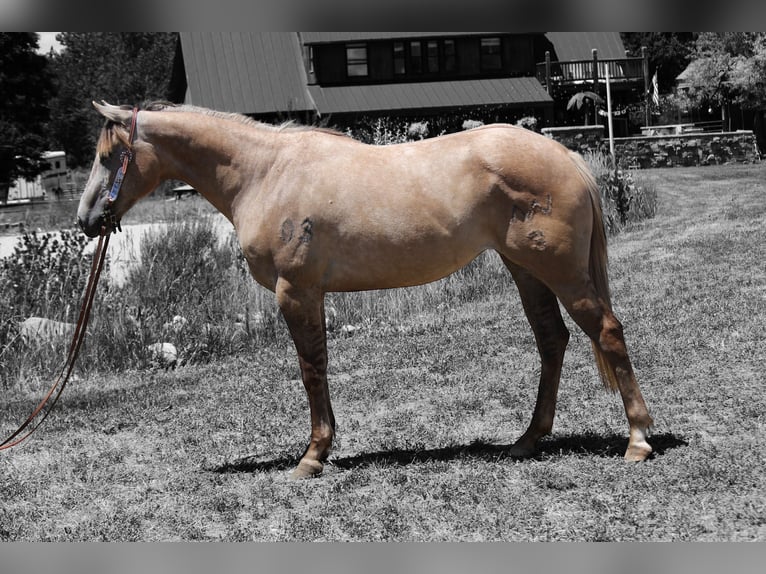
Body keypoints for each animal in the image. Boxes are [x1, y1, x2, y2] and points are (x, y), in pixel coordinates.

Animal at [78, 101, 653, 478]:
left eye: (108, 157)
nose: (85, 221)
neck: (265, 172)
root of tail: (565, 155)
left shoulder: (296, 291)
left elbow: (311, 369)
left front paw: (311, 457)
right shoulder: (310, 295)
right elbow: (320, 366)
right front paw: (325, 447)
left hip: (559, 272)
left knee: (607, 332)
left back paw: (638, 441)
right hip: (525, 269)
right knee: (552, 339)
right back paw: (528, 440)